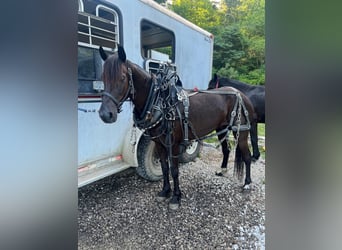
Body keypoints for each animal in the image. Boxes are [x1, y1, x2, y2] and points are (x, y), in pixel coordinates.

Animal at [97, 46, 255, 210]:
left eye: (122, 78)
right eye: (103, 77)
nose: (105, 114)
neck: (160, 103)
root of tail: (241, 94)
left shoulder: (172, 144)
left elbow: (174, 170)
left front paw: (176, 197)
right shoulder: (158, 143)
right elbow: (165, 168)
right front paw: (165, 191)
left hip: (241, 131)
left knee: (247, 156)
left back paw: (247, 184)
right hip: (221, 128)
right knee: (227, 150)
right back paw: (222, 170)